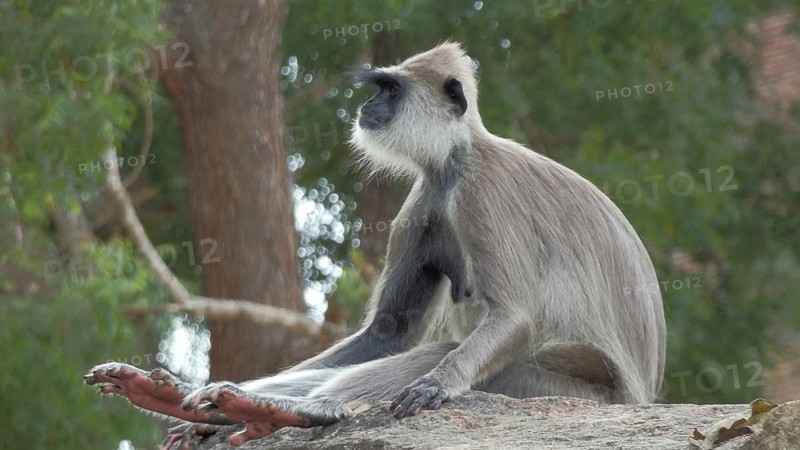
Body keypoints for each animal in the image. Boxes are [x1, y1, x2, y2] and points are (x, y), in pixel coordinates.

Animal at [85, 42, 666, 449]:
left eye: (391, 90)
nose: (367, 103)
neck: (456, 158)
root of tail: (640, 398)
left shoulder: (481, 191)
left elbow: (514, 316)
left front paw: (437, 385)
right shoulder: (426, 197)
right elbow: (388, 331)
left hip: (567, 390)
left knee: (445, 352)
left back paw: (302, 412)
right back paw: (212, 403)